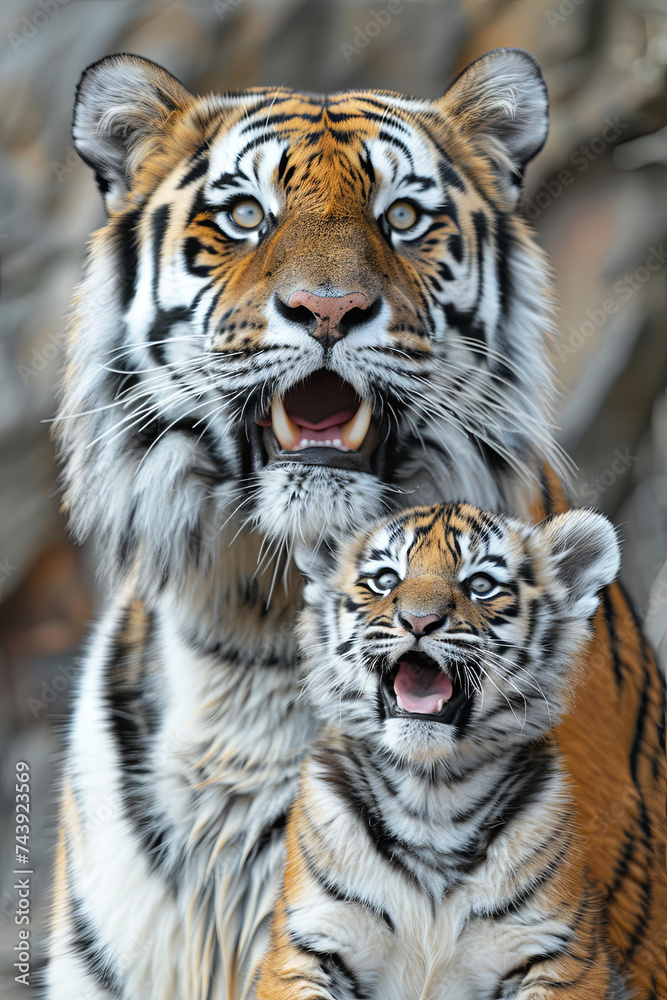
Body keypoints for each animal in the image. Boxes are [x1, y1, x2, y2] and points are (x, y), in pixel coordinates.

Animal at [257, 502, 627, 1000]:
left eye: (481, 585)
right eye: (385, 580)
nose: (418, 621)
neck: (431, 797)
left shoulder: (559, 955)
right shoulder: (308, 943)